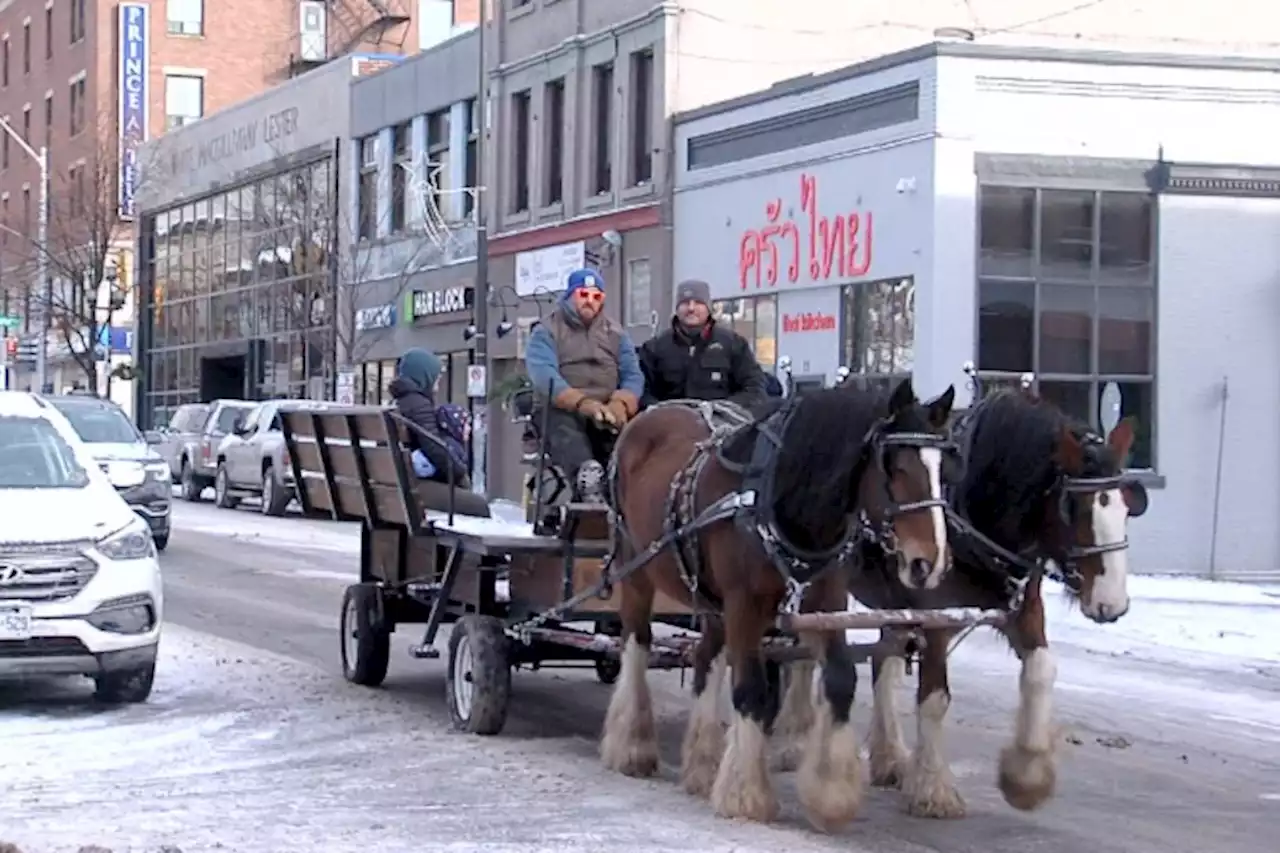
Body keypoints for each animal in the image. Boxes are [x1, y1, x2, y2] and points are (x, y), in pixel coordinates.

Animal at [604, 379, 957, 829]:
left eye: (944, 471)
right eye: (894, 467)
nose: (929, 562)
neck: (784, 505)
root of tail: (650, 415)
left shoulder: (824, 603)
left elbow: (840, 679)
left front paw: (830, 794)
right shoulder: (744, 605)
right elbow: (752, 690)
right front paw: (745, 794)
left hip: (710, 595)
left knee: (705, 658)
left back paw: (702, 763)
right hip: (635, 567)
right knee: (636, 643)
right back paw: (632, 745)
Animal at [768, 386, 1152, 819]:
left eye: (1126, 506)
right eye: (1075, 509)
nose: (1111, 603)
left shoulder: (1022, 606)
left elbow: (1041, 670)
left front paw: (1026, 778)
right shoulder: (935, 617)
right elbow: (935, 699)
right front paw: (935, 789)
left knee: (882, 659)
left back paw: (890, 756)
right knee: (806, 652)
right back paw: (795, 741)